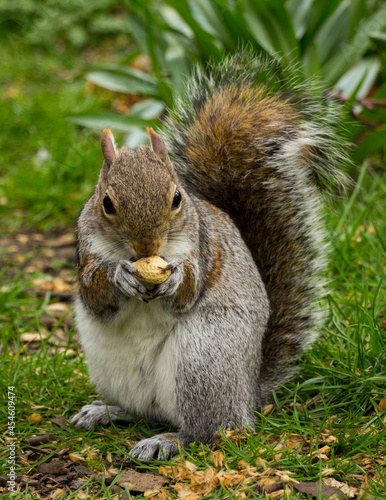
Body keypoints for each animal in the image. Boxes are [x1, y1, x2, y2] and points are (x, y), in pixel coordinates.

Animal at [70, 51, 346, 460]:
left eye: (177, 198)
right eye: (106, 203)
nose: (147, 248)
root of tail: (248, 392)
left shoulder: (202, 248)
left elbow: (189, 290)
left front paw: (175, 280)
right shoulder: (87, 251)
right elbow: (95, 295)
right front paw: (120, 276)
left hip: (205, 359)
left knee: (212, 428)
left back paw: (167, 440)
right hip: (115, 367)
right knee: (144, 411)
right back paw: (106, 411)